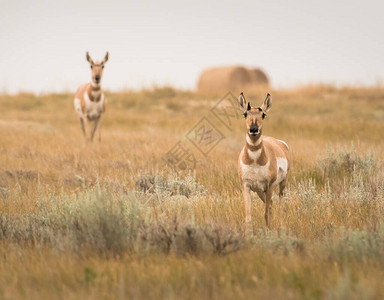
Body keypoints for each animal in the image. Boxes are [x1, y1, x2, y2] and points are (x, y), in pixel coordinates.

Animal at [238, 92, 290, 233]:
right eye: (245, 114)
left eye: (263, 115)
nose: (253, 129)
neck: (255, 162)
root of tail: (280, 143)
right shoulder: (246, 186)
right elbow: (248, 216)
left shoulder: (269, 186)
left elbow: (266, 214)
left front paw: (267, 233)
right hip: (260, 191)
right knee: (271, 204)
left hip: (281, 185)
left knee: (279, 203)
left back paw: (279, 228)